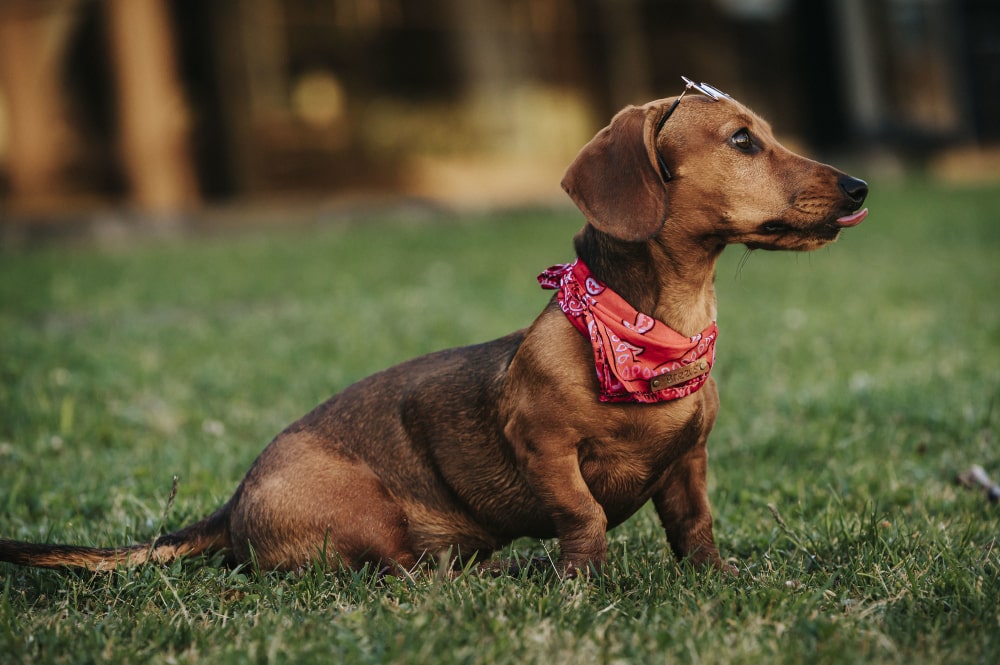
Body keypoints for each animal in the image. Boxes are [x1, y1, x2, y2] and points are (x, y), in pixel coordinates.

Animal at [0, 78, 868, 576]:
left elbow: (696, 529)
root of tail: (235, 498)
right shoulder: (545, 450)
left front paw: (717, 581)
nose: (861, 184)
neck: (641, 329)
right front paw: (581, 586)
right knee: (389, 572)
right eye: (742, 141)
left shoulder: (687, 463)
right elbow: (583, 516)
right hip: (367, 516)